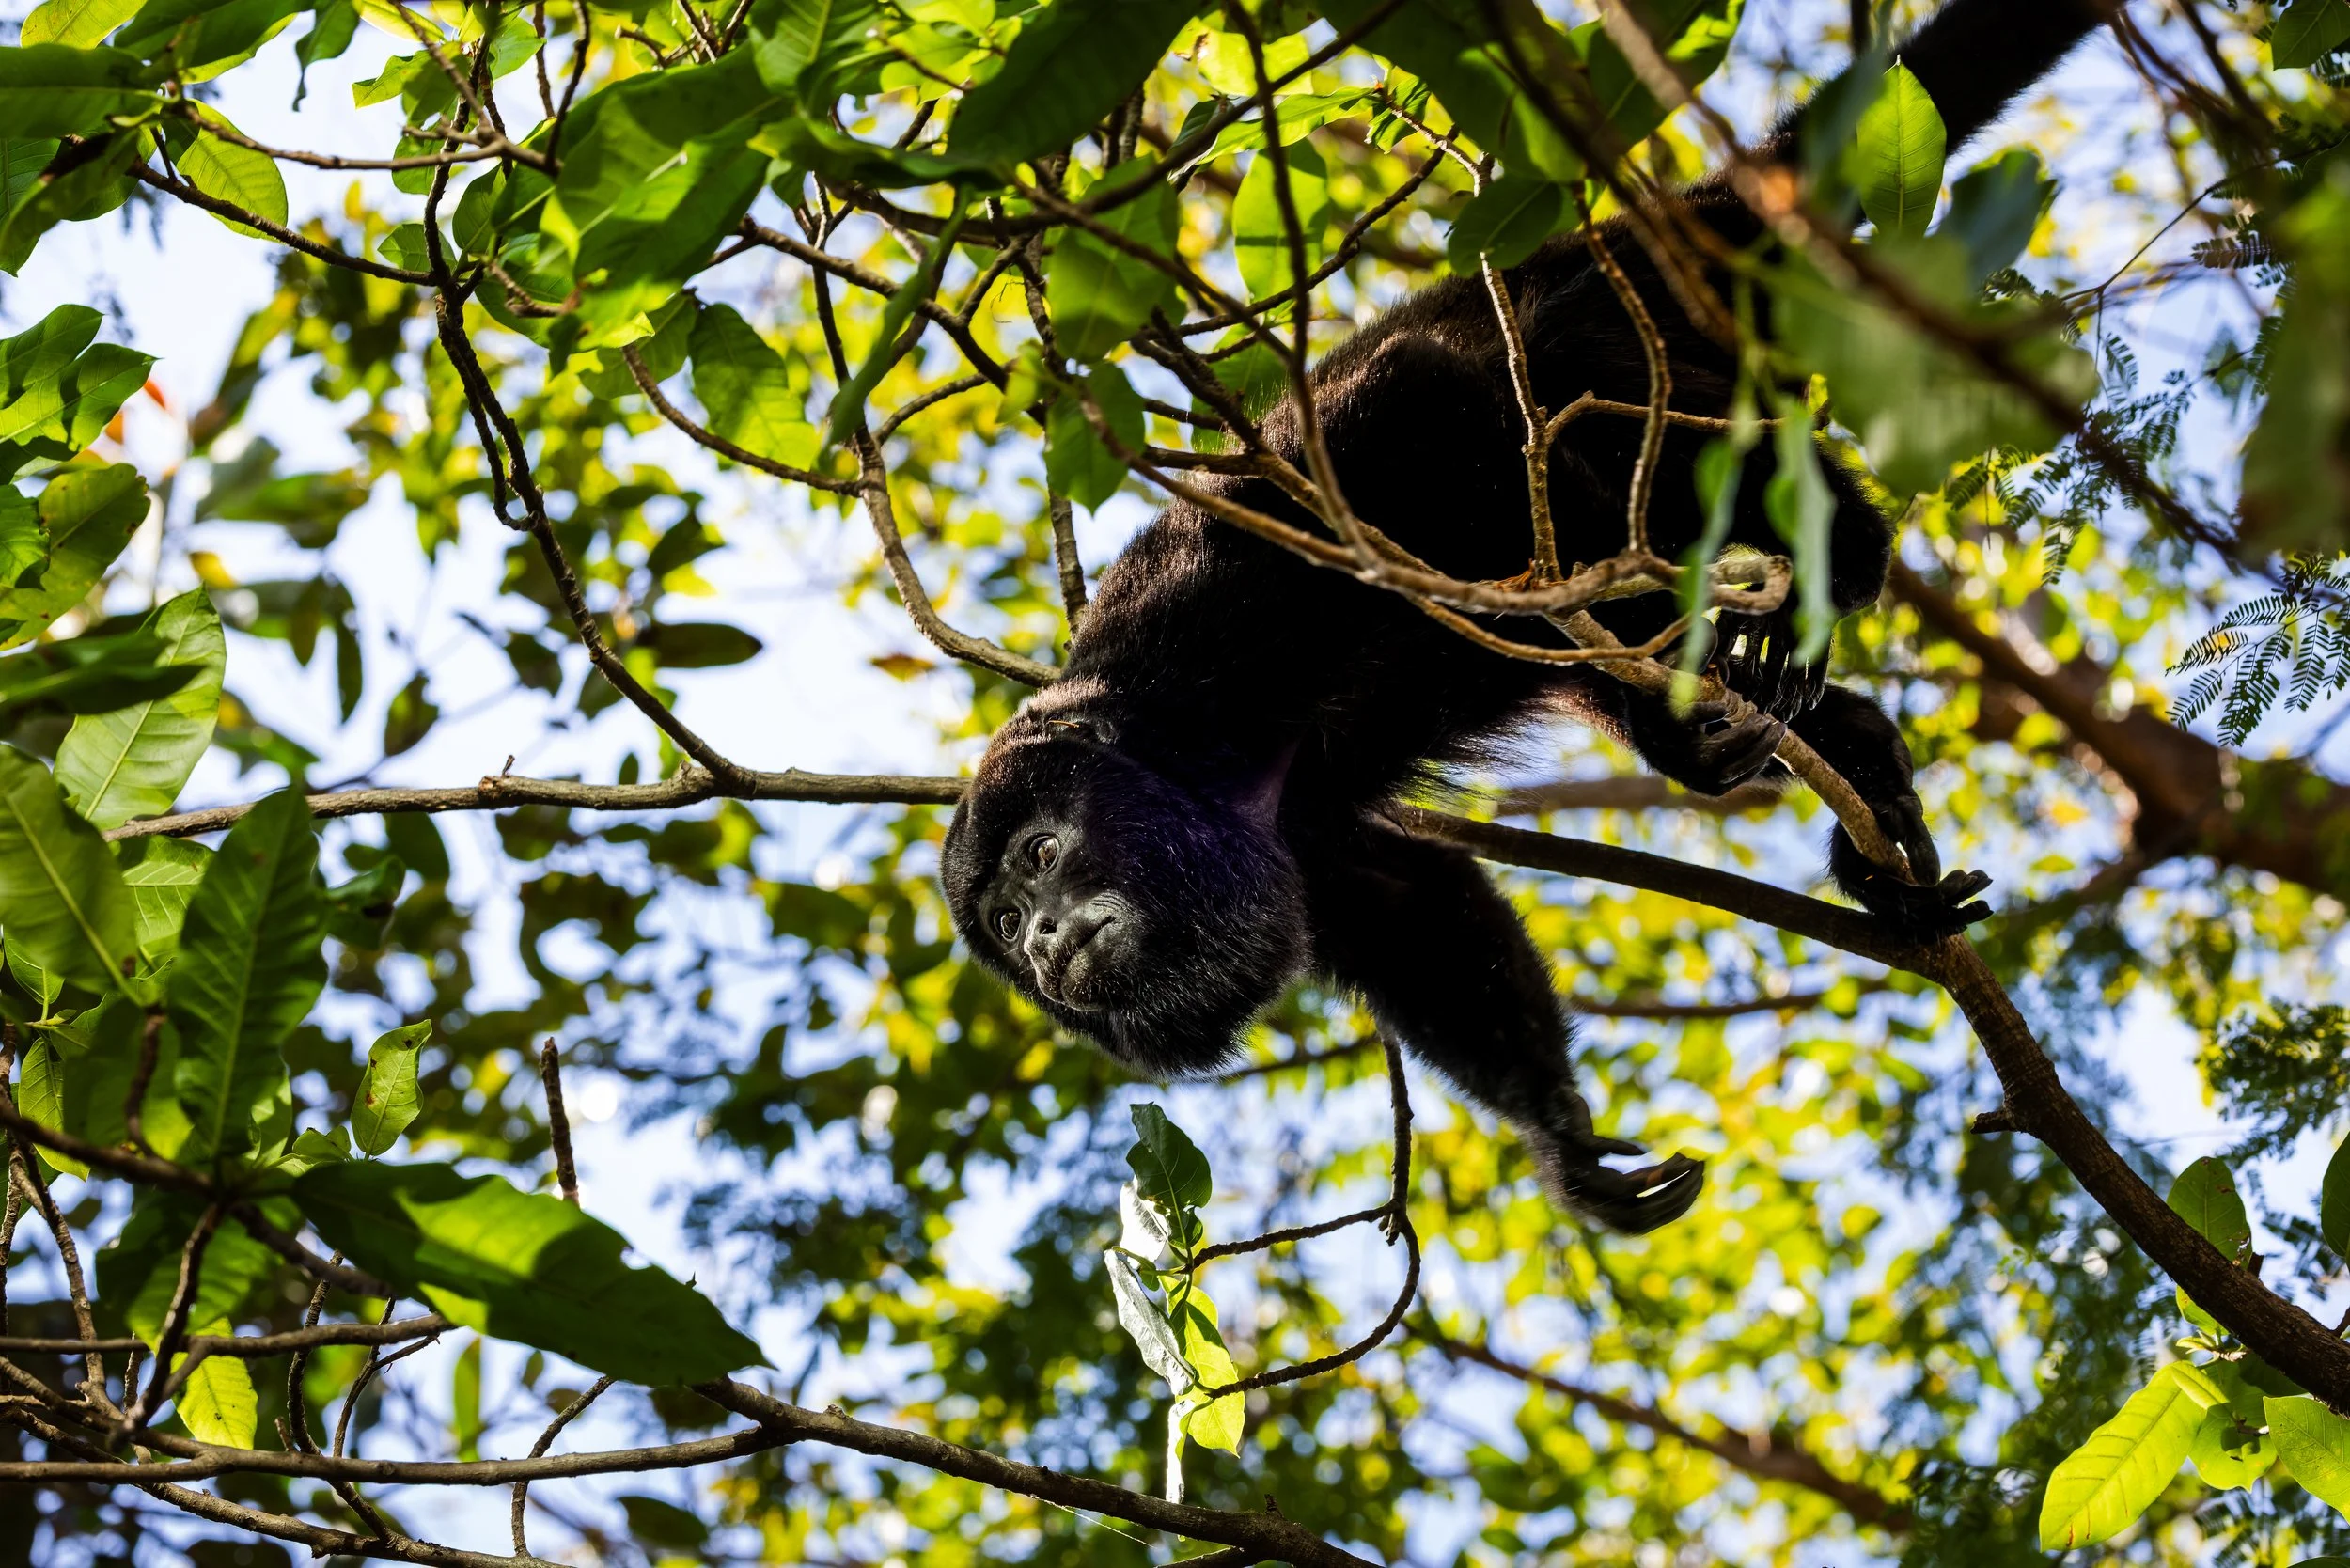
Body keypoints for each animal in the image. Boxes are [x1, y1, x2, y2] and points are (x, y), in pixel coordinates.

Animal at [942, 0, 2115, 1233]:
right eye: (1008, 930)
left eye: (1041, 855)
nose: (1048, 938)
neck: (1168, 748)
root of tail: (1625, 235)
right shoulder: (1291, 832)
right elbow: (1410, 903)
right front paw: (1565, 1139)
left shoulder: (1198, 621)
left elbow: (1420, 399)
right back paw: (1850, 769)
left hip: (1646, 348)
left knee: (1591, 424)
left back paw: (1819, 582)